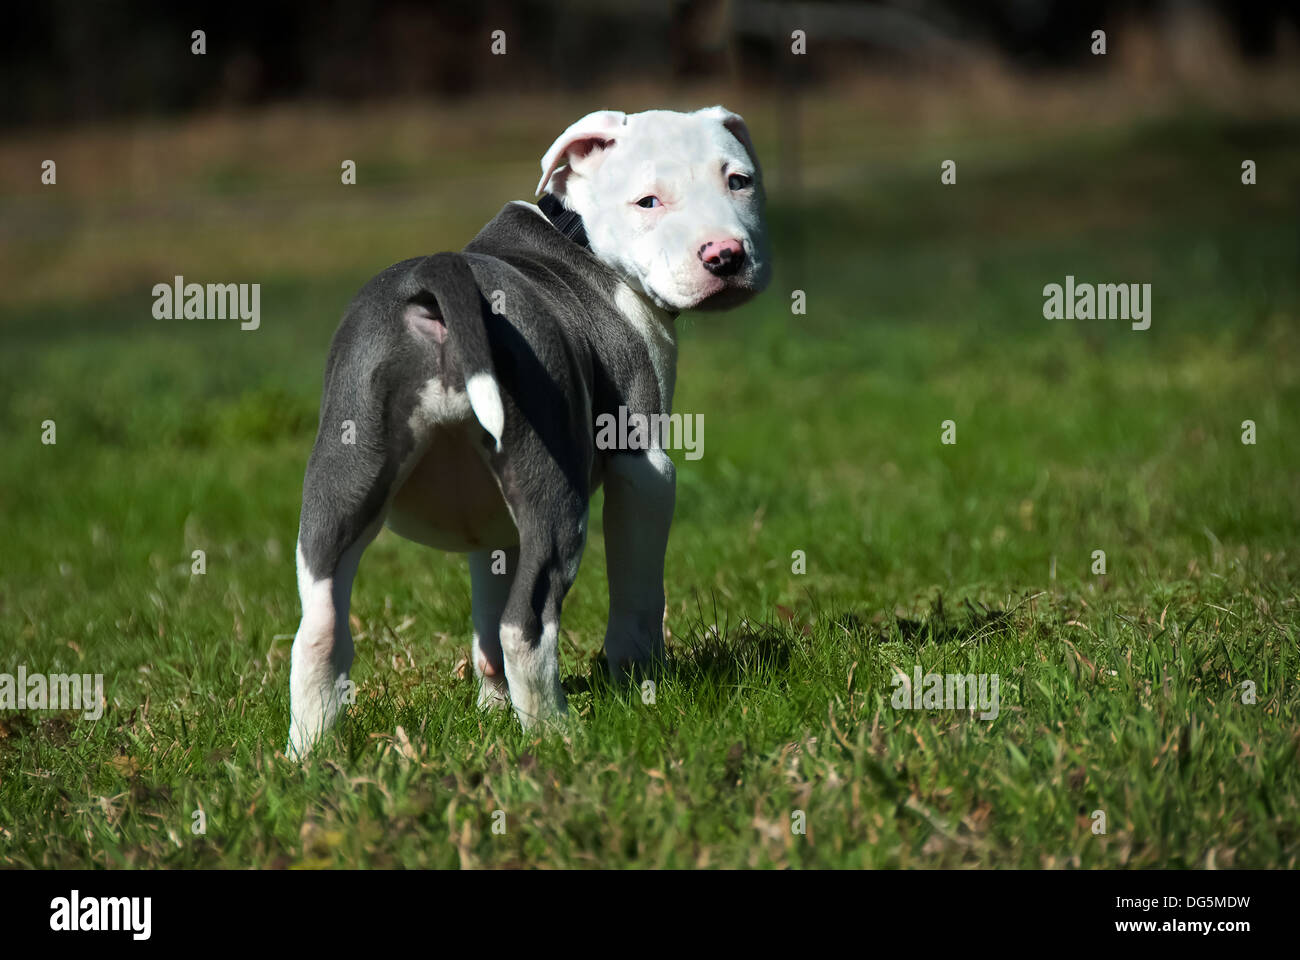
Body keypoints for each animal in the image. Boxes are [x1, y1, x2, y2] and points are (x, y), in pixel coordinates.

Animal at [287, 108, 769, 754]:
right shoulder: (644, 469)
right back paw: (558, 735)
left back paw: (307, 756)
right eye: (648, 201)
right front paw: (642, 682)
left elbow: (486, 618)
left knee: (319, 627)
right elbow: (638, 596)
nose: (725, 255)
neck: (578, 234)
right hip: (556, 491)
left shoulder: (492, 526)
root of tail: (435, 281)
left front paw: (491, 711)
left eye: (739, 181)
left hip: (342, 476)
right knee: (528, 623)